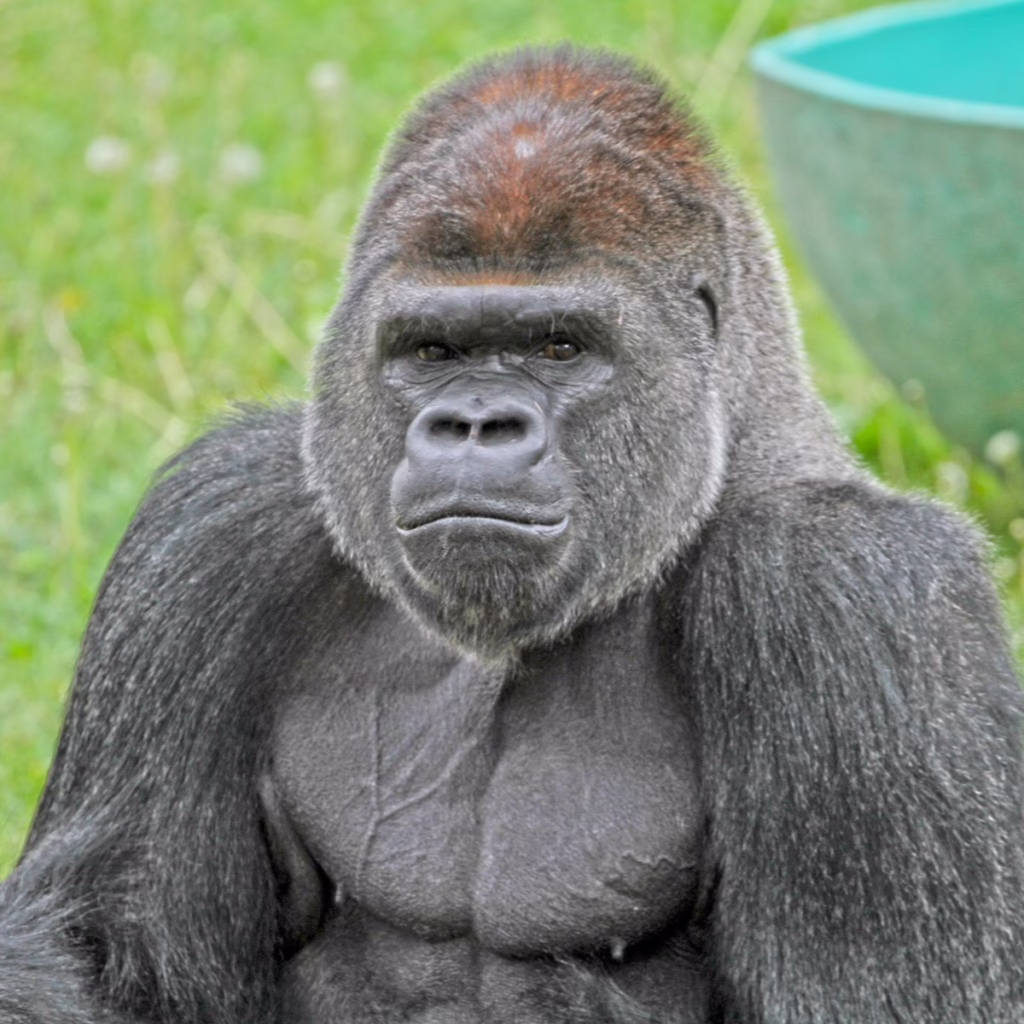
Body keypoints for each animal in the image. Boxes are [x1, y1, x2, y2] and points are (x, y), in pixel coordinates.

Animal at [1, 45, 1023, 1024]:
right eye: (432, 351)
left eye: (558, 346)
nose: (475, 425)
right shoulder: (216, 528)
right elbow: (113, 966)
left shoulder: (848, 591)